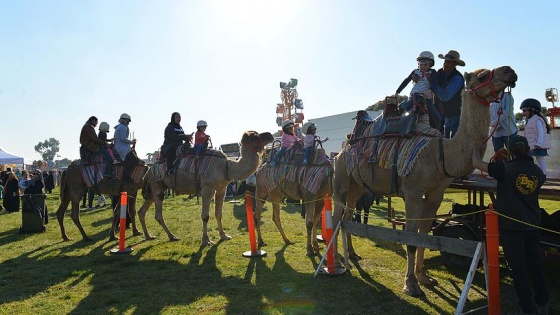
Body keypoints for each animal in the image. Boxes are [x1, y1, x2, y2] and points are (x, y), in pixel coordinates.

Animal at [138, 131, 274, 247]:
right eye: (255, 136)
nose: (270, 136)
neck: (226, 166)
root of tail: (149, 169)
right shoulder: (207, 188)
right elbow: (205, 216)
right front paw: (206, 240)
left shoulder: (221, 189)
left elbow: (219, 213)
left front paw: (224, 236)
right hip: (157, 186)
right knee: (158, 214)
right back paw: (172, 236)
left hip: (154, 189)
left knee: (142, 211)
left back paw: (148, 235)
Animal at [332, 65, 516, 298]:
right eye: (482, 76)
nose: (509, 71)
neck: (441, 153)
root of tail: (344, 148)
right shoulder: (412, 192)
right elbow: (411, 238)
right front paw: (411, 284)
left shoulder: (435, 195)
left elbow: (424, 234)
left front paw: (424, 277)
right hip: (340, 181)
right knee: (336, 216)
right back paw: (335, 261)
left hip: (357, 187)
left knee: (347, 216)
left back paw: (353, 254)